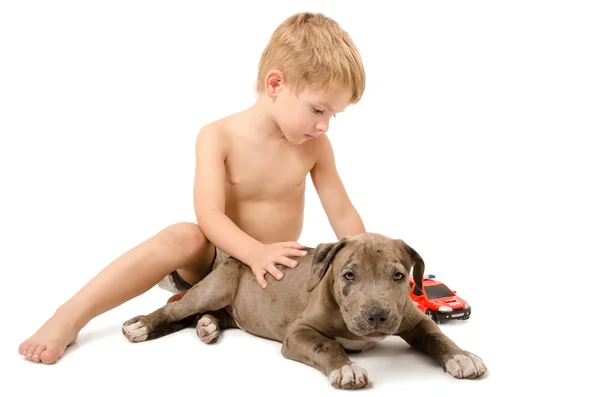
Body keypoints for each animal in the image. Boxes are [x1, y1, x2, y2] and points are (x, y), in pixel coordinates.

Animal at [122, 232, 488, 386]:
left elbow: (437, 336)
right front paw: (346, 369)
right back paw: (142, 325)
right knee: (175, 311)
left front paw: (462, 357)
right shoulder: (298, 333)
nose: (377, 316)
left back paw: (207, 326)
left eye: (399, 276)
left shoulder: (413, 320)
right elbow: (326, 345)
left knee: (208, 317)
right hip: (214, 288)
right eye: (348, 275)